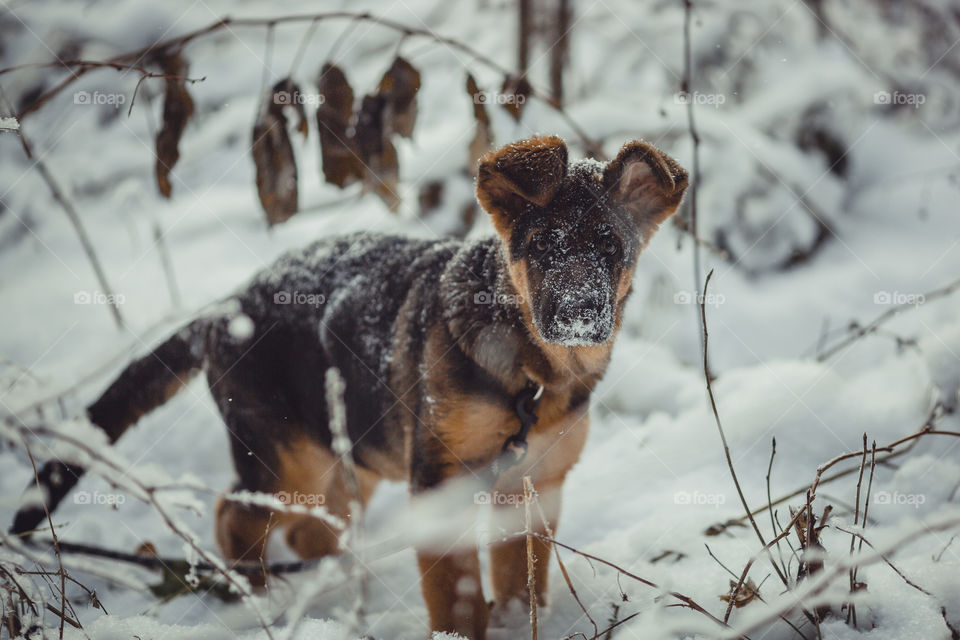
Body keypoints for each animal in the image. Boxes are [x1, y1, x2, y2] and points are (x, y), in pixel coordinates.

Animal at [16, 134, 688, 636]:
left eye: (611, 247)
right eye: (545, 244)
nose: (579, 316)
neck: (529, 375)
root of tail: (223, 309)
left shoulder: (535, 487)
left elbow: (522, 585)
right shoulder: (438, 484)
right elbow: (458, 595)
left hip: (349, 460)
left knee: (306, 528)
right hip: (286, 458)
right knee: (237, 515)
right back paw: (257, 602)